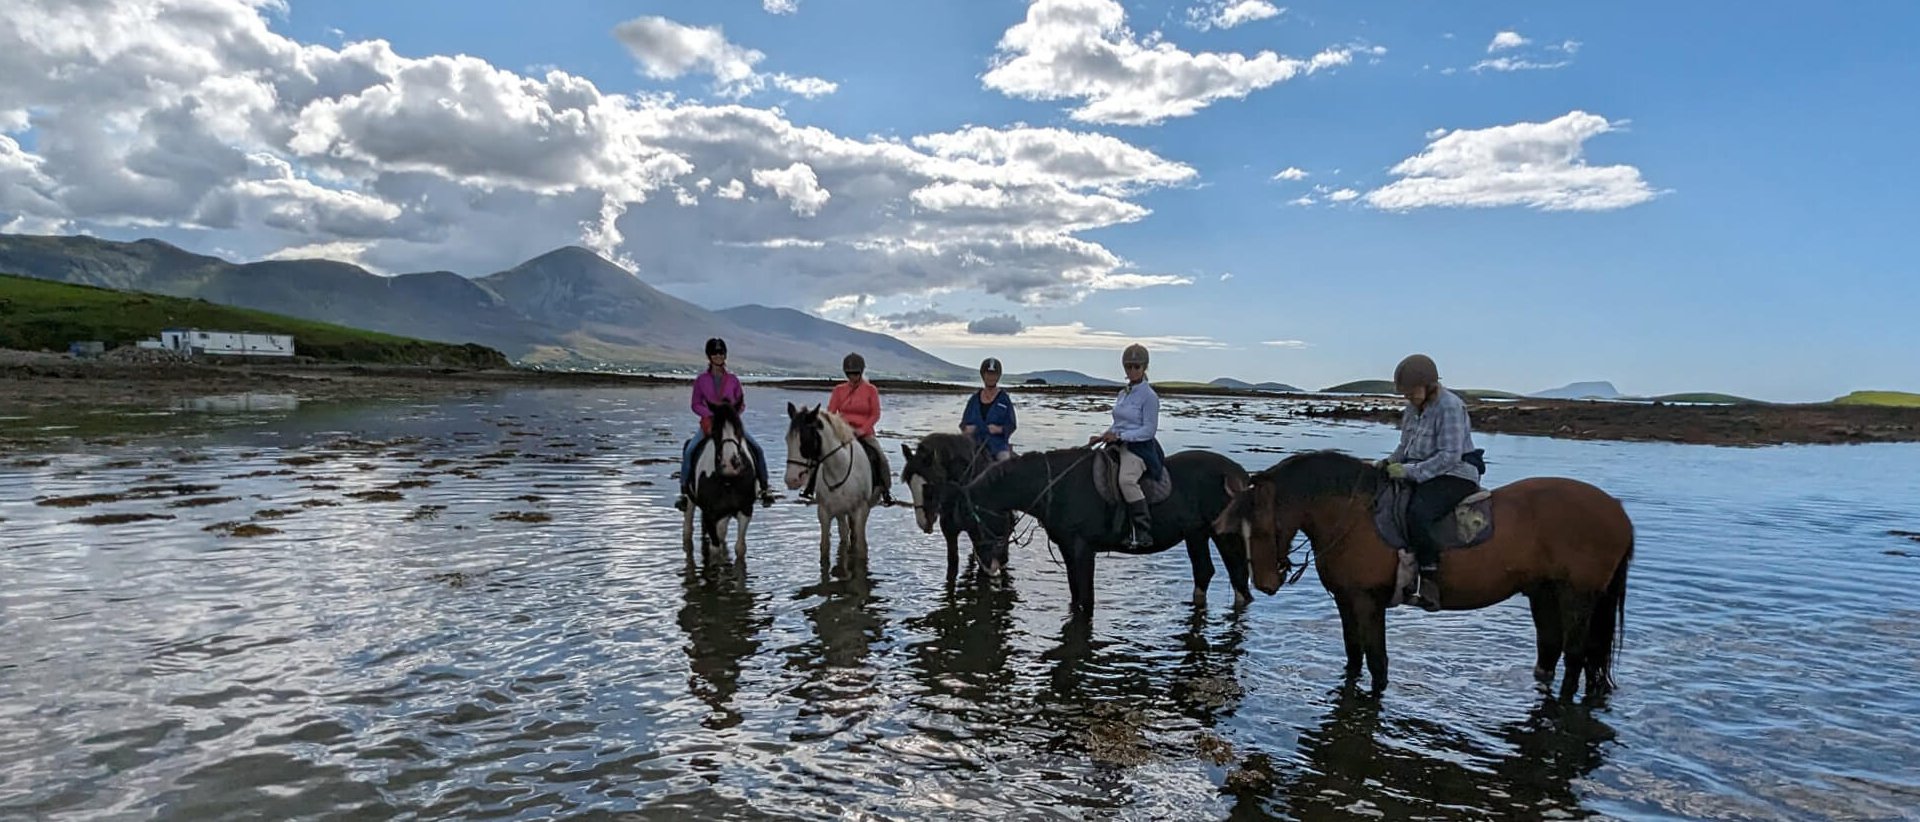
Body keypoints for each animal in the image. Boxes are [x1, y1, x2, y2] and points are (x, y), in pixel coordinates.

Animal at [783, 401, 887, 576]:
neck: (839, 469)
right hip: (840, 511)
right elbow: (824, 549)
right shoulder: (824, 512)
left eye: (806, 440)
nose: (791, 480)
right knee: (844, 536)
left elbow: (861, 548)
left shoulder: (860, 510)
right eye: (787, 439)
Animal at [960, 445, 1259, 618]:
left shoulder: (1082, 551)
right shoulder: (1068, 550)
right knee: (1204, 572)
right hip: (1196, 534)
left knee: (1239, 579)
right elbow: (1076, 596)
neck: (1057, 486)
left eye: (977, 523)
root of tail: (1240, 476)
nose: (988, 565)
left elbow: (1086, 598)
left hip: (1224, 536)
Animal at [1213, 449, 1635, 699]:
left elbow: (1377, 662)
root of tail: (1617, 511)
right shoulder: (1347, 600)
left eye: (1263, 529)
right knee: (1552, 651)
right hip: (1544, 593)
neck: (1355, 516)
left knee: (1576, 656)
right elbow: (1353, 655)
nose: (1265, 584)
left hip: (1578, 596)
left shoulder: (1368, 601)